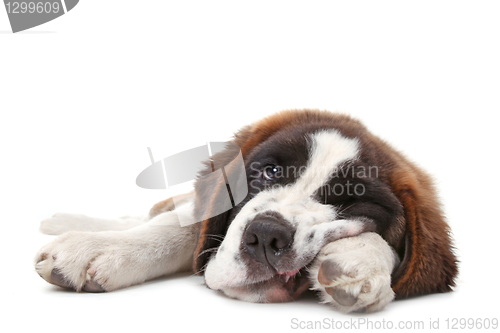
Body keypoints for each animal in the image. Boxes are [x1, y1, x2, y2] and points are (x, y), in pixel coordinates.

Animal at [34, 109, 458, 312]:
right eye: (269, 172)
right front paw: (99, 247)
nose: (268, 236)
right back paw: (63, 222)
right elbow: (181, 226)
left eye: (350, 199)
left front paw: (360, 257)